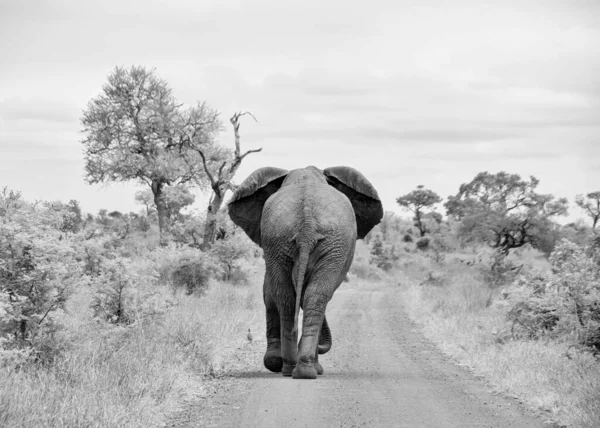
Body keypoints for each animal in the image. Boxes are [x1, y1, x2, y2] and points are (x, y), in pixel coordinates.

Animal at [227, 166, 382, 380]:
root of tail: (307, 225)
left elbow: (271, 293)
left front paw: (276, 362)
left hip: (289, 240)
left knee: (292, 296)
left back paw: (294, 369)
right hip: (318, 244)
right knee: (312, 296)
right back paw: (302, 370)